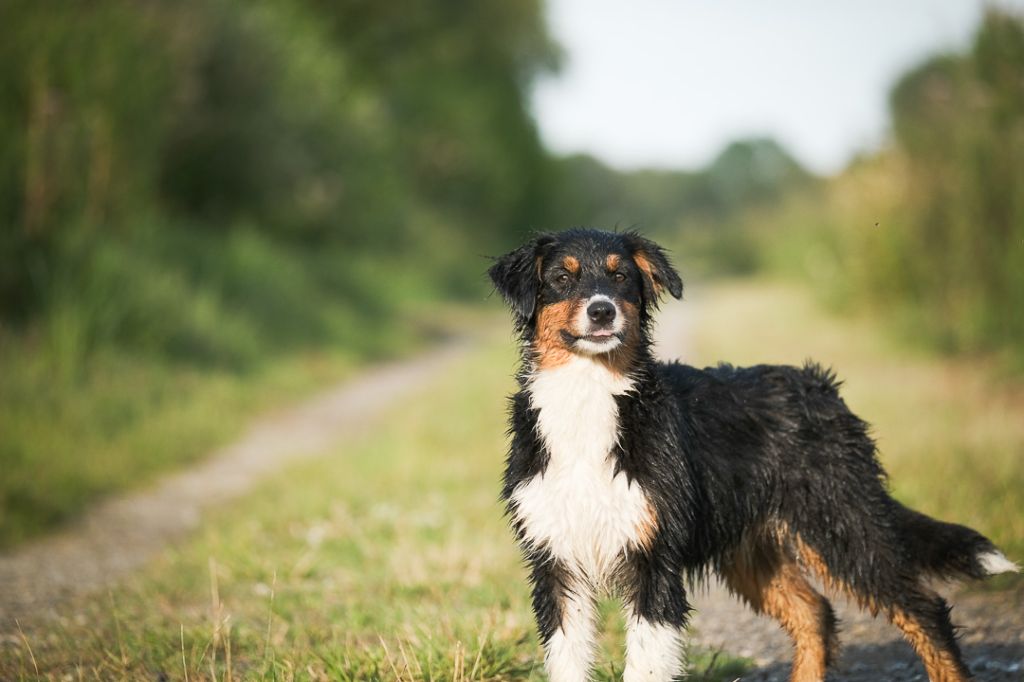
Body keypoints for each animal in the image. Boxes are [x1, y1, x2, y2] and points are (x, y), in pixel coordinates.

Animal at [487, 228, 1015, 679]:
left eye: (621, 277)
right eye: (562, 278)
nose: (602, 311)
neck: (590, 394)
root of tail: (822, 386)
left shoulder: (654, 562)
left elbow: (646, 665)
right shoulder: (556, 563)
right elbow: (567, 662)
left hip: (842, 524)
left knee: (923, 608)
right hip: (754, 548)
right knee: (814, 613)